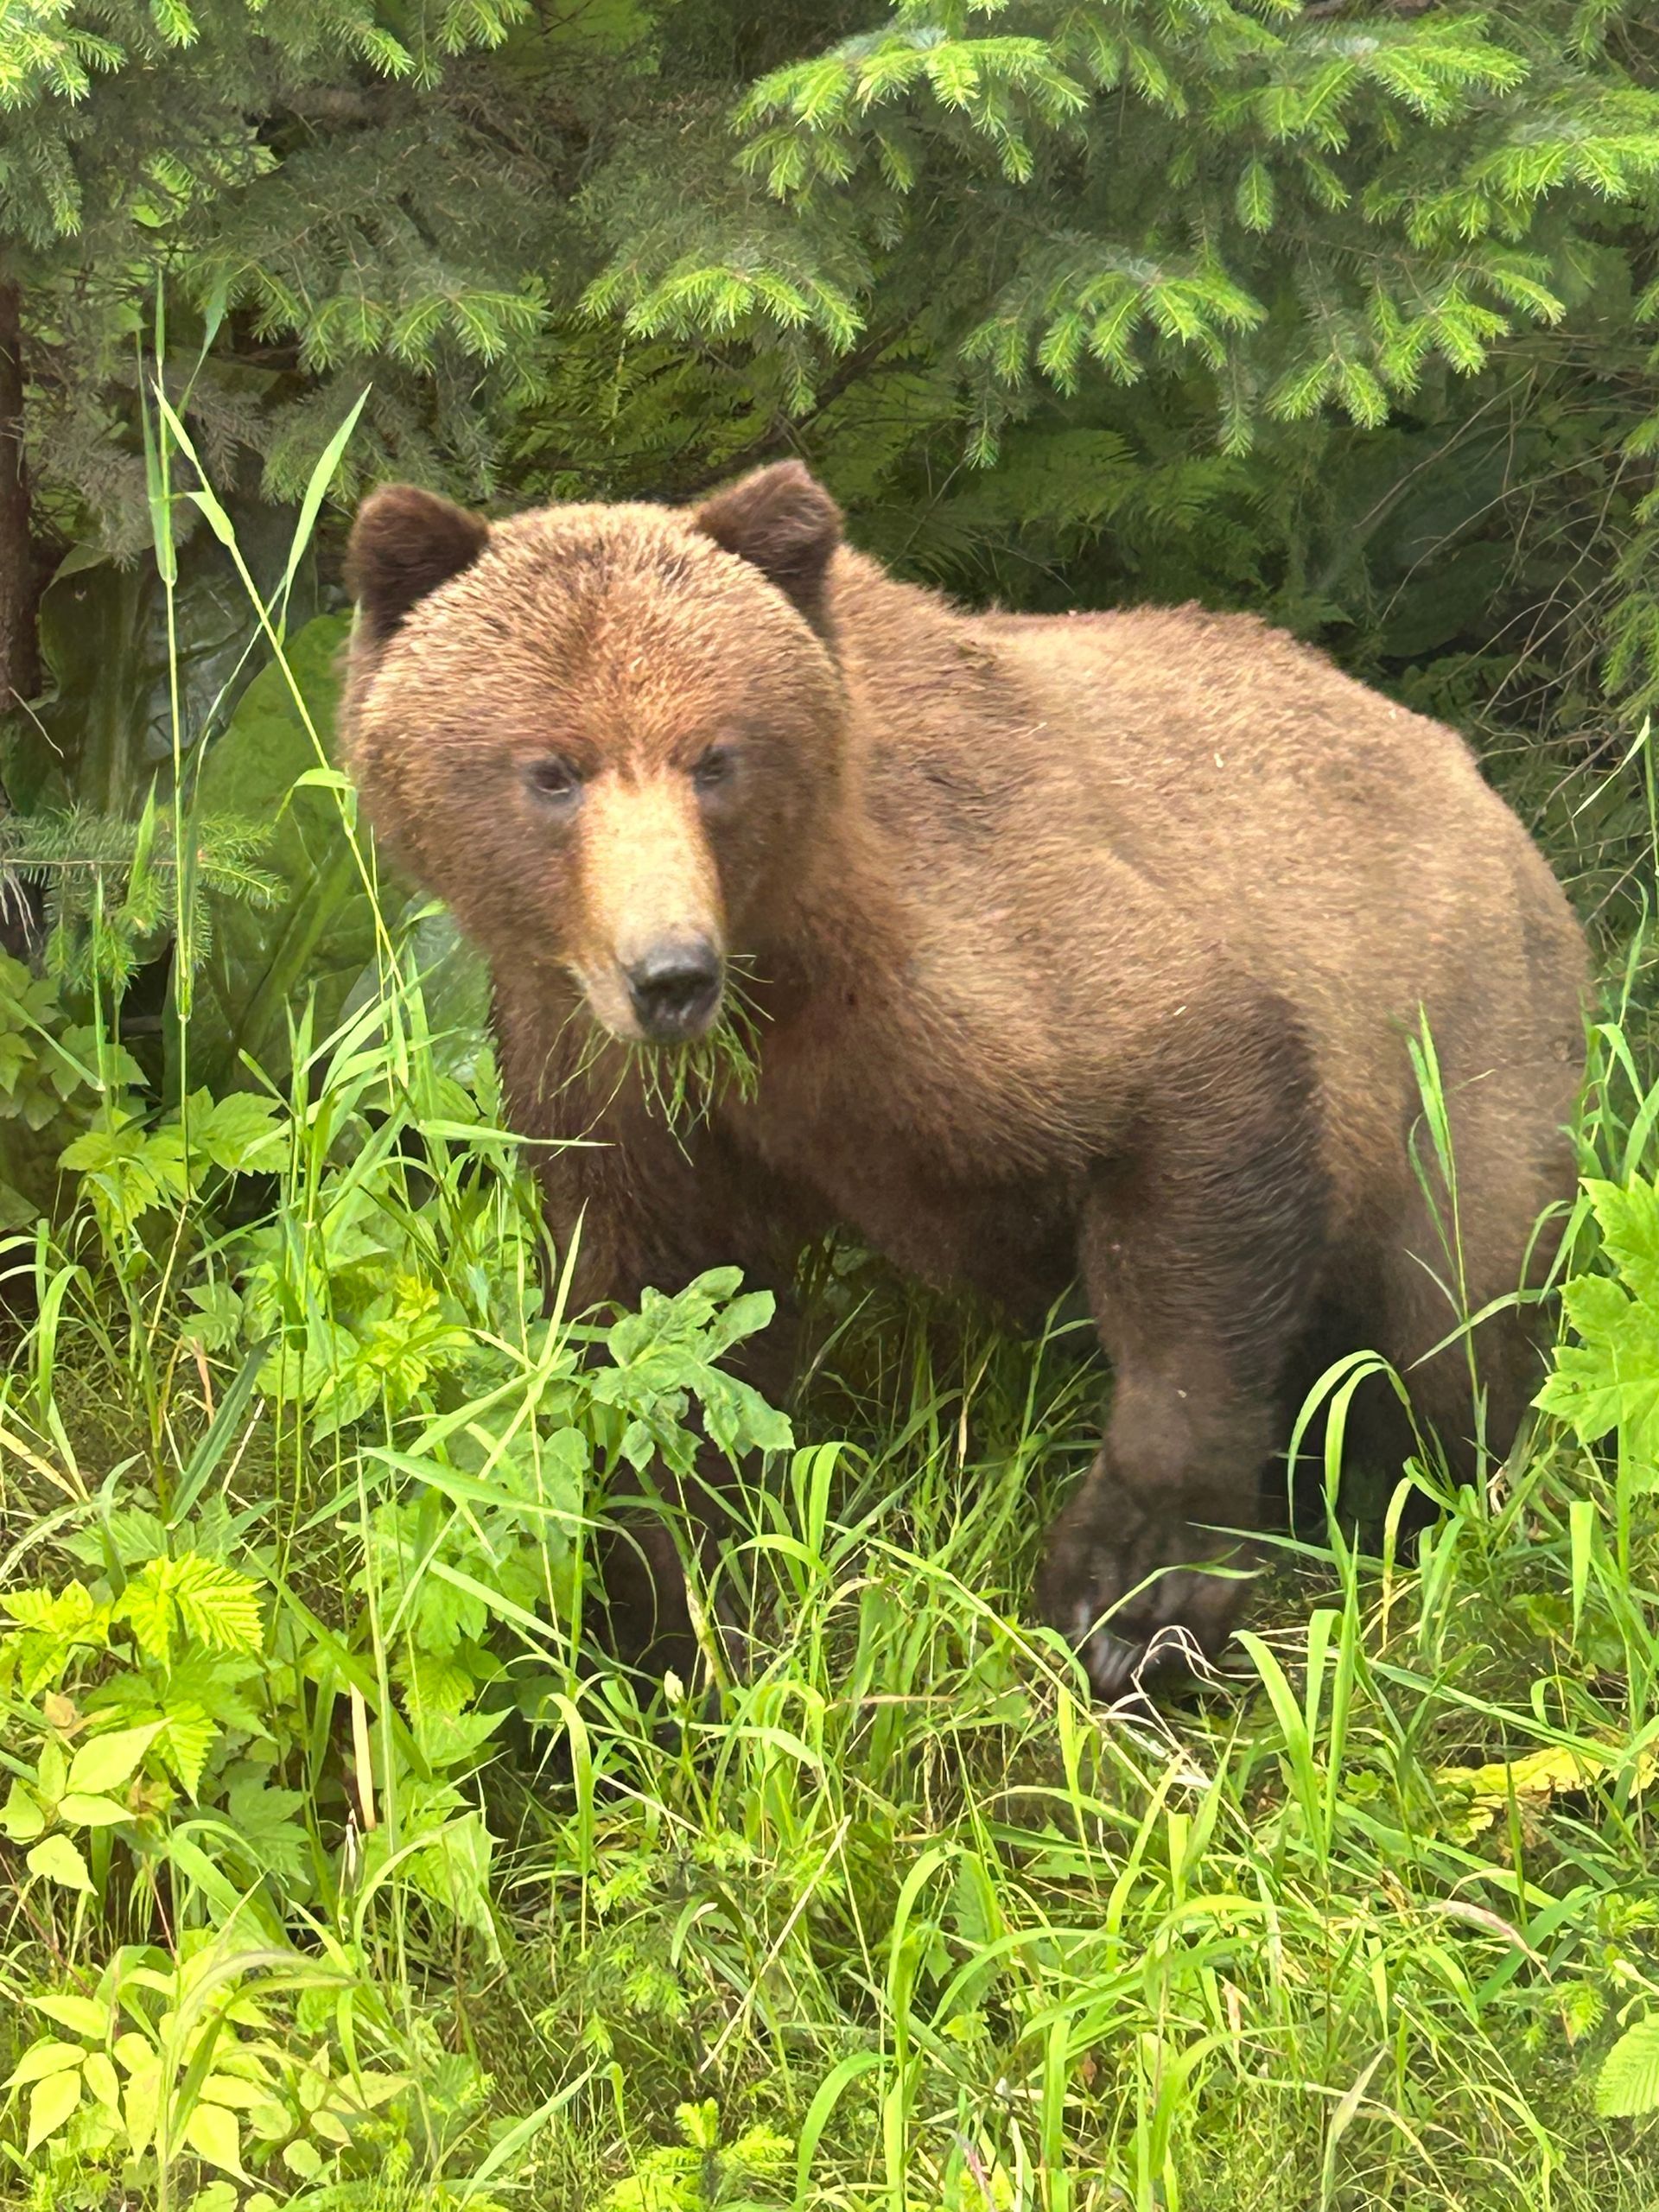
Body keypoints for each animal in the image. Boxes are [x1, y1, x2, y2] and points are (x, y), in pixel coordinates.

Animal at [339, 459, 1588, 1699]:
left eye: (715, 757)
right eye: (551, 770)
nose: (669, 974)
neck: (778, 969)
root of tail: (1490, 793)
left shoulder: (977, 952)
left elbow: (1198, 1109)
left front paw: (1133, 1597)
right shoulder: (609, 1079)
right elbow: (666, 1327)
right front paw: (673, 1620)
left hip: (1467, 1045)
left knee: (1457, 1321)